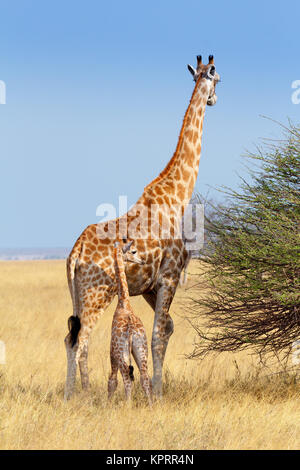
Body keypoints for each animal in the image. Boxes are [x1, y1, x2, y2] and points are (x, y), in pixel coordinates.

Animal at [108, 241, 152, 406]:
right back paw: (151, 406)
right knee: (145, 378)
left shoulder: (112, 352)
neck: (124, 303)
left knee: (127, 379)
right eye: (133, 251)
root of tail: (131, 332)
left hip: (122, 353)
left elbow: (112, 381)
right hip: (142, 349)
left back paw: (128, 406)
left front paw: (107, 403)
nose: (143, 261)